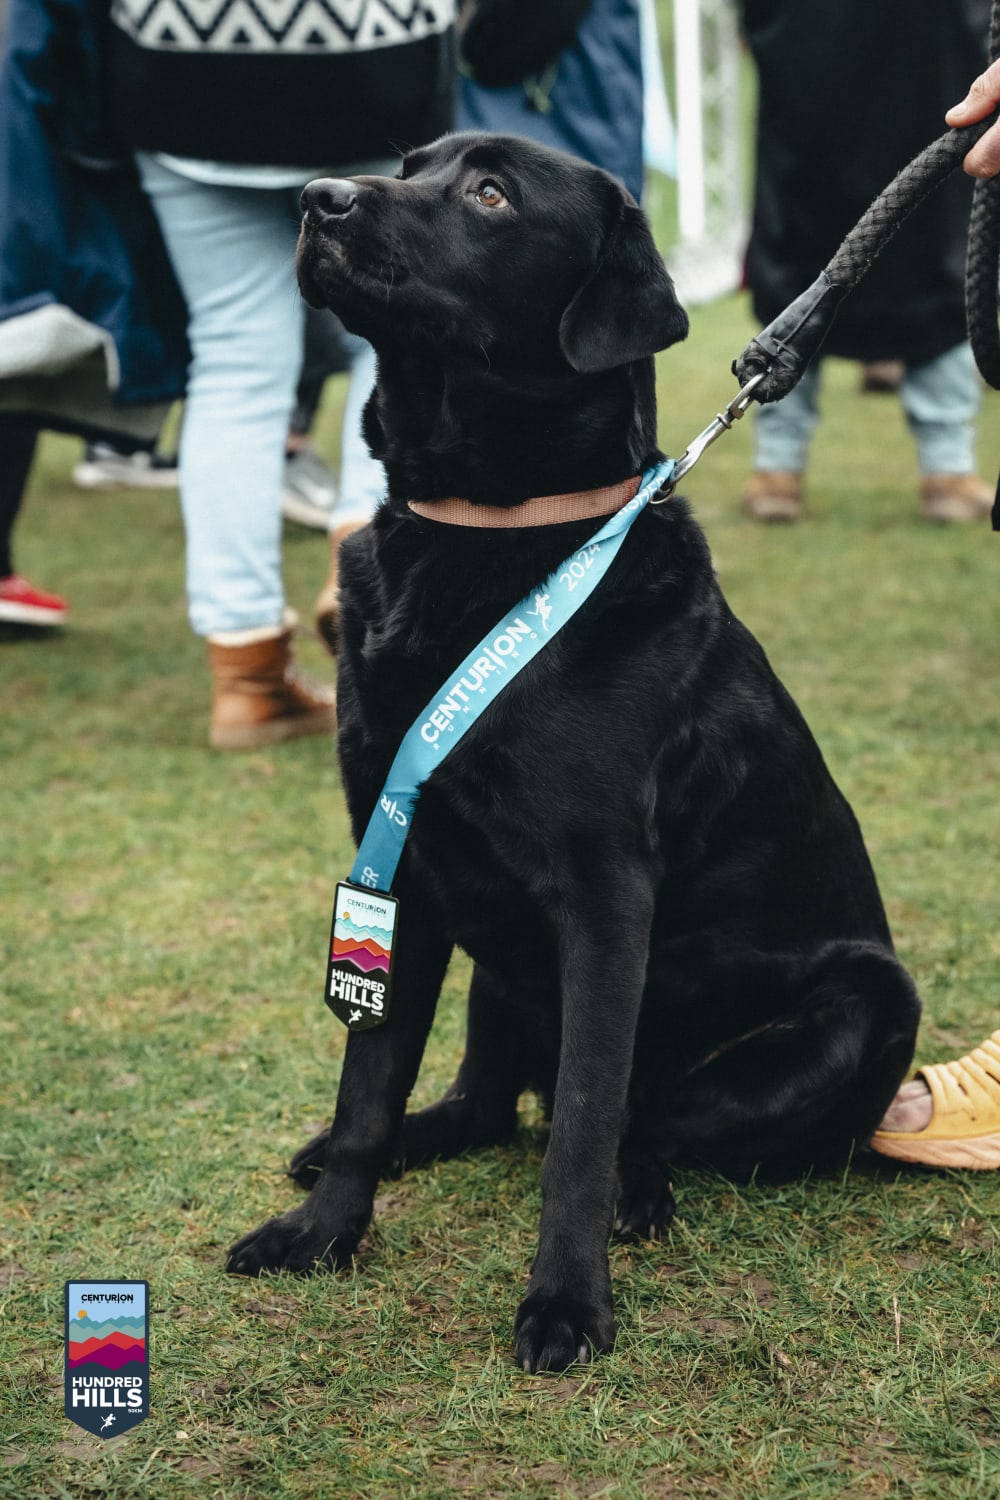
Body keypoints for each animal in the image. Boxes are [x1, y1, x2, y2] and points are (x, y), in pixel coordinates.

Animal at [227, 133, 921, 1372]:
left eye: (491, 194)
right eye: (412, 164)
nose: (318, 199)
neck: (485, 536)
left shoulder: (605, 896)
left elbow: (585, 1127)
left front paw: (564, 1302)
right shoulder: (398, 862)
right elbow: (368, 1084)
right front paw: (323, 1232)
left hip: (862, 1004)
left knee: (633, 1121)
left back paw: (638, 1196)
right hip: (501, 965)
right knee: (489, 1102)